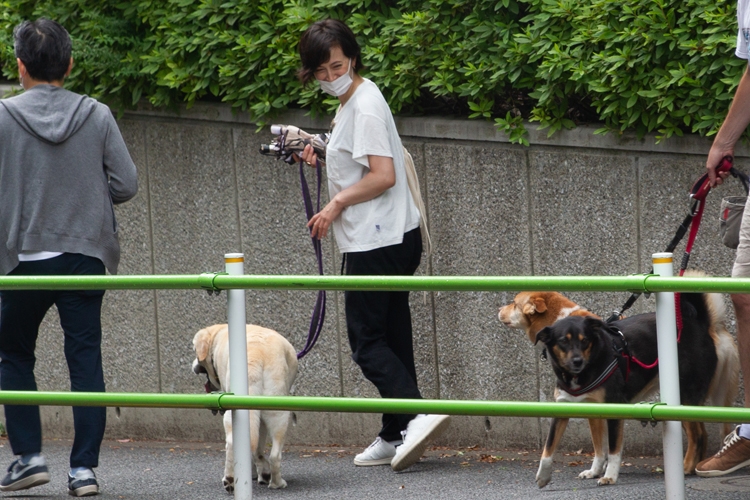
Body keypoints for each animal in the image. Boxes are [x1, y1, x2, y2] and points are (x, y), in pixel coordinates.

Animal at [194, 324, 300, 492]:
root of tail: (256, 355)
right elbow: (258, 449)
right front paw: (261, 473)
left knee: (232, 443)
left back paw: (231, 479)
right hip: (278, 412)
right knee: (274, 454)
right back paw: (275, 482)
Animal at [500, 282, 740, 488]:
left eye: (514, 302)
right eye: (563, 342)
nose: (500, 309)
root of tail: (703, 324)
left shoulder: (614, 408)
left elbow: (614, 449)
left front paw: (609, 476)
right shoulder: (578, 409)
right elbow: (570, 448)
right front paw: (583, 471)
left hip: (683, 396)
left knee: (697, 435)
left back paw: (686, 467)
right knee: (704, 434)